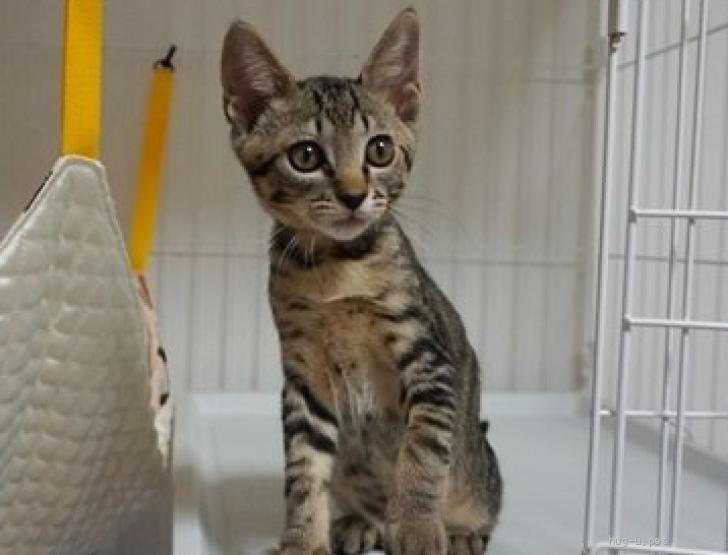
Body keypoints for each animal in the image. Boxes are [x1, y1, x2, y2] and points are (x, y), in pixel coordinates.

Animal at [221, 8, 502, 555]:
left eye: (380, 150)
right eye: (306, 156)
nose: (354, 195)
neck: (337, 268)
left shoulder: (427, 358)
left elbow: (422, 450)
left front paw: (418, 528)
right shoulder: (304, 378)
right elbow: (303, 471)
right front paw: (302, 540)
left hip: (478, 471)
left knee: (486, 502)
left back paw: (458, 532)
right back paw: (358, 522)